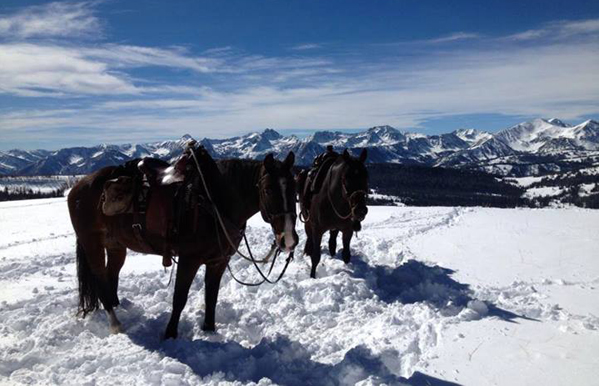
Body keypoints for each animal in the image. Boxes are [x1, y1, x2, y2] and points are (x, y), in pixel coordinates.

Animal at [68, 148, 300, 338]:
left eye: (295, 189)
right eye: (268, 190)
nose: (289, 239)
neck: (214, 202)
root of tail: (79, 186)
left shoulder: (218, 262)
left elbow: (211, 296)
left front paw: (209, 330)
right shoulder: (189, 260)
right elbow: (179, 298)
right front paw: (170, 334)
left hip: (116, 246)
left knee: (111, 275)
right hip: (92, 244)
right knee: (100, 277)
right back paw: (115, 323)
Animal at [300, 148, 370, 278]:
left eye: (366, 177)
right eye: (345, 178)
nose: (360, 210)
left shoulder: (348, 230)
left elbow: (346, 254)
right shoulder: (317, 230)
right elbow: (316, 257)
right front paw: (312, 276)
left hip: (335, 228)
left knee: (332, 242)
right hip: (308, 221)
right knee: (310, 238)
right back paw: (308, 250)